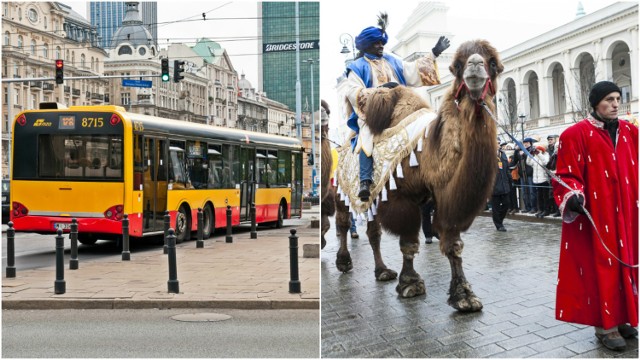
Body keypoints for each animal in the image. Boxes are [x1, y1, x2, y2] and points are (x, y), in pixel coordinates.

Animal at [332, 38, 502, 310]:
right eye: (457, 65)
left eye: (494, 64)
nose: (475, 66)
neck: (427, 154)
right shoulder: (402, 198)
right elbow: (408, 243)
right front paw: (410, 283)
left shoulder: (442, 195)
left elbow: (453, 244)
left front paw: (464, 295)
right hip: (342, 191)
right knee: (343, 224)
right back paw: (344, 262)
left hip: (374, 199)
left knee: (372, 232)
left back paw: (382, 271)